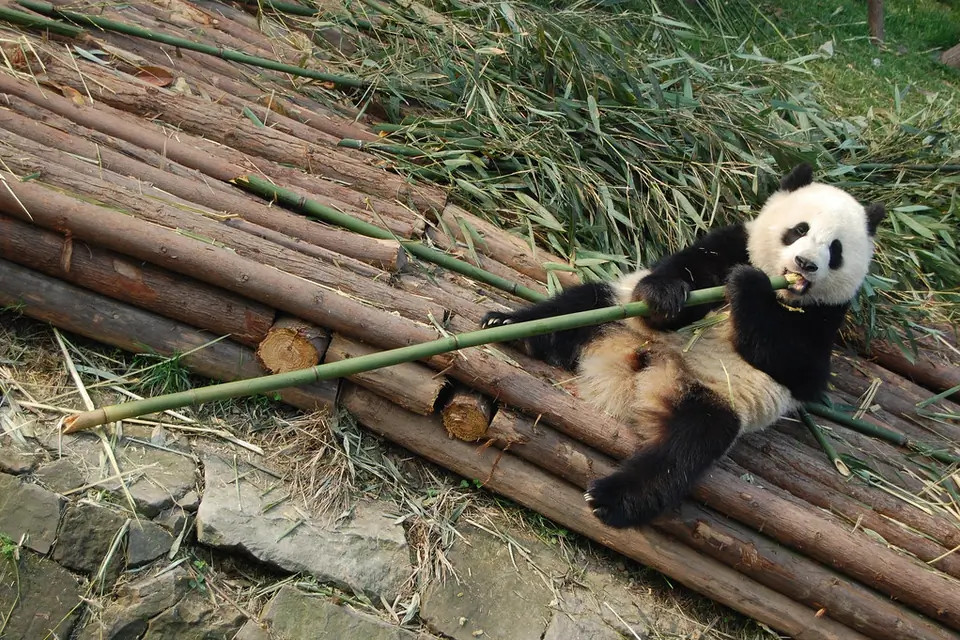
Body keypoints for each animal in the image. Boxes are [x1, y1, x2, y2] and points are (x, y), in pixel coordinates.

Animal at [481, 164, 886, 529]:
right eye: (799, 230)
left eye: (835, 250)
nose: (804, 264)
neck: (784, 293)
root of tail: (640, 369)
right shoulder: (732, 242)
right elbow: (682, 272)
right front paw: (669, 297)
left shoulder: (826, 317)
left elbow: (799, 369)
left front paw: (748, 284)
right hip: (618, 314)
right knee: (578, 306)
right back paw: (509, 326)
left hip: (713, 397)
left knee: (685, 449)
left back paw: (611, 499)